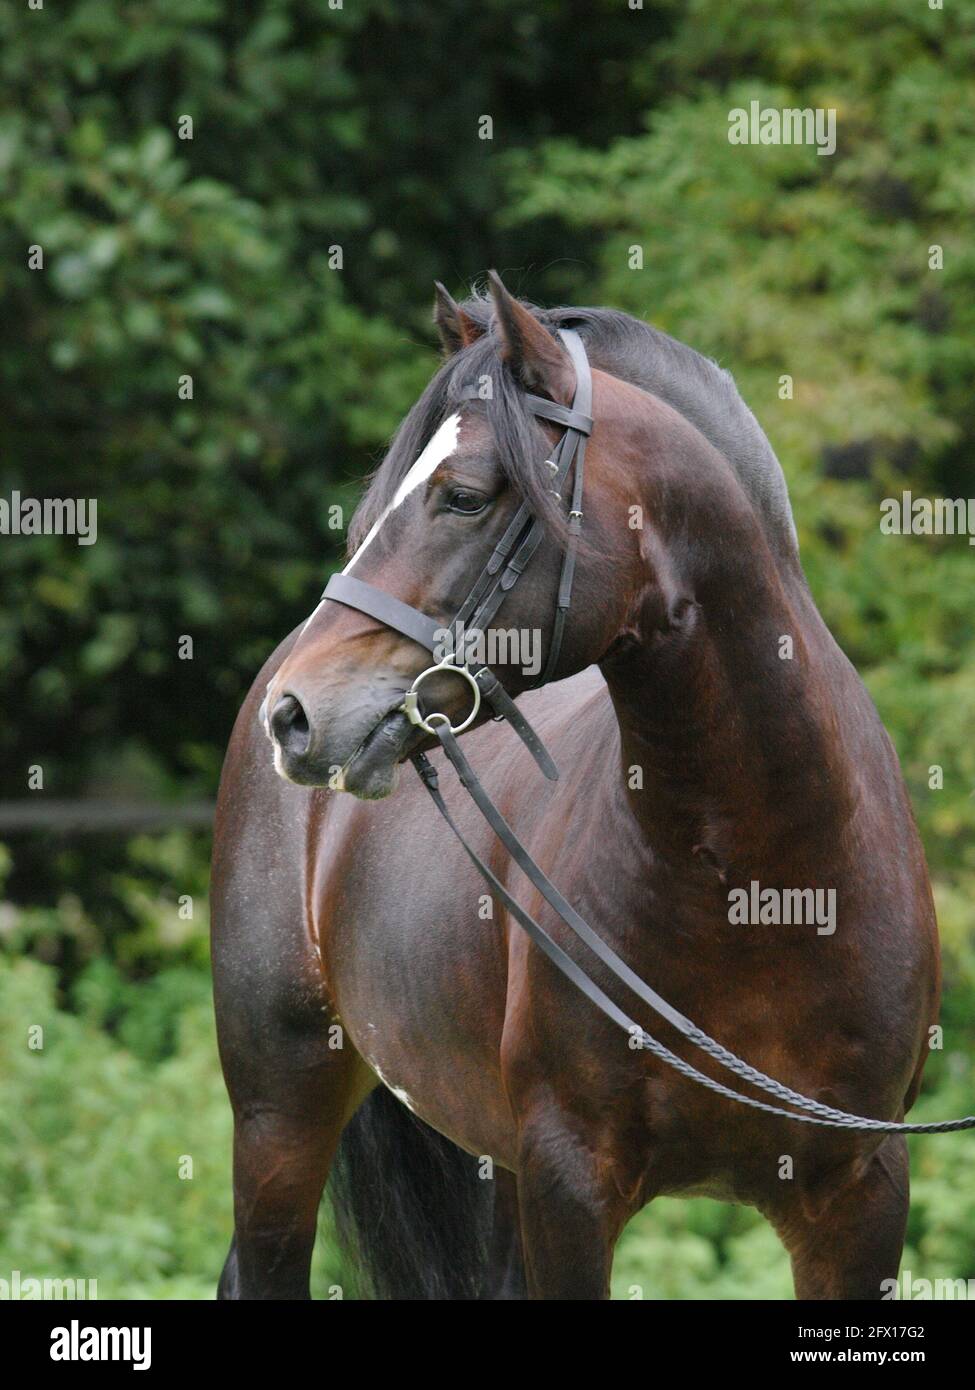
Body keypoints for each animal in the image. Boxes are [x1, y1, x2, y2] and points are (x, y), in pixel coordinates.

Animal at [210, 272, 939, 1300]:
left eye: (463, 498)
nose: (296, 713)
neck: (760, 873)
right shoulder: (569, 1181)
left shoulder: (860, 1195)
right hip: (281, 1115)